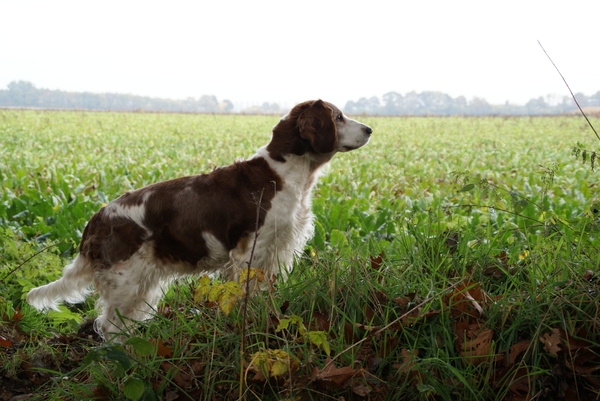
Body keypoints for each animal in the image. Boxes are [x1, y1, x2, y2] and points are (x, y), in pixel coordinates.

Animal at [29, 98, 376, 336]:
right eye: (338, 116)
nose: (370, 129)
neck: (285, 172)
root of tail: (96, 219)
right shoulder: (250, 251)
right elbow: (245, 293)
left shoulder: (277, 250)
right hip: (126, 280)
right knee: (109, 325)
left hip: (141, 283)